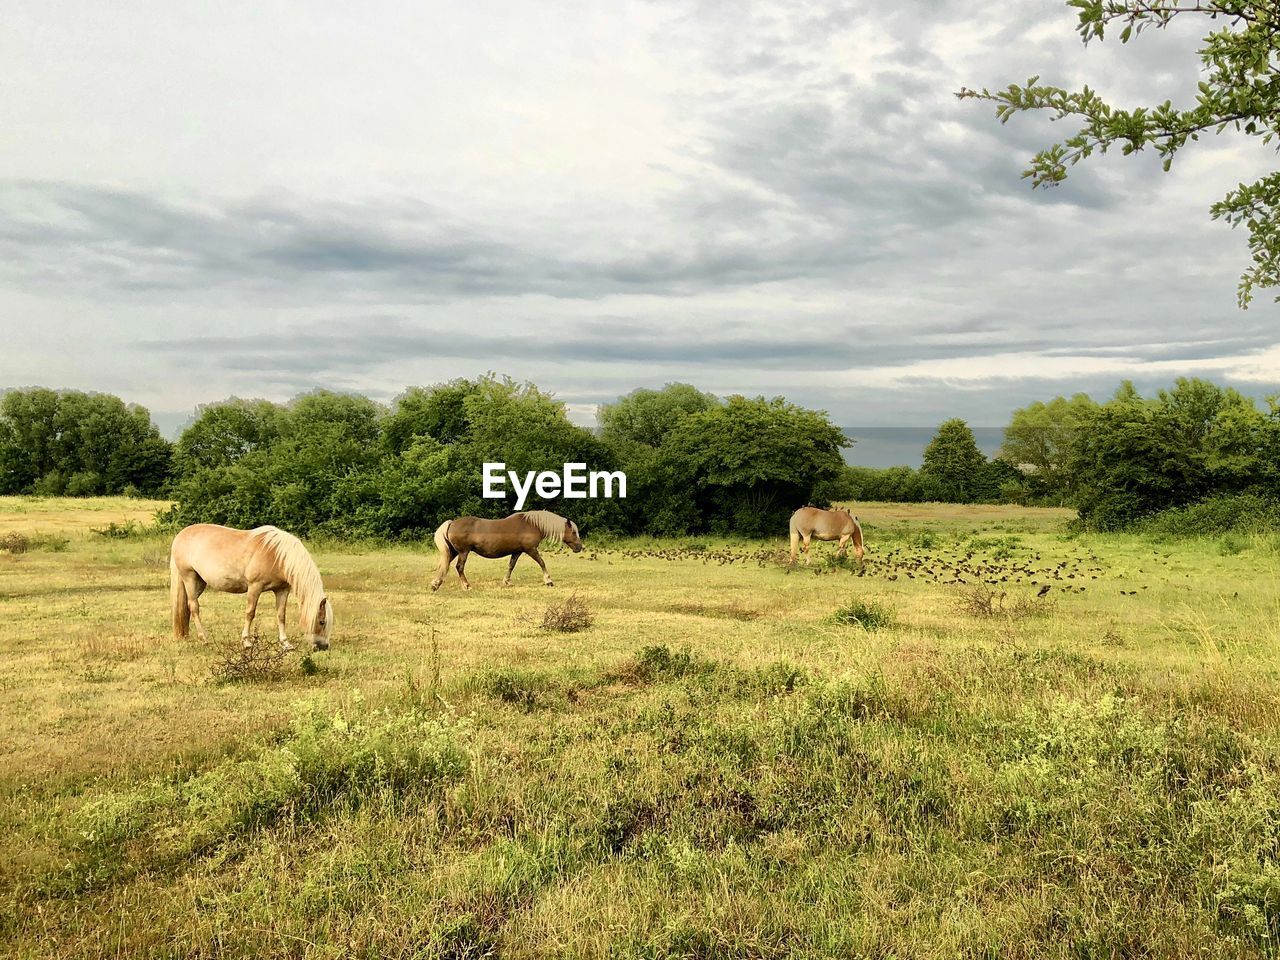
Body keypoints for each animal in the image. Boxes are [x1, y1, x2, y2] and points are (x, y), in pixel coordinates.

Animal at [170, 527, 335, 655]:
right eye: (322, 622)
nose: (323, 647)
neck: (277, 555)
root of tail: (180, 535)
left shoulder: (282, 590)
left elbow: (281, 615)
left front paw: (286, 644)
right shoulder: (255, 587)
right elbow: (250, 613)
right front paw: (247, 642)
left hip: (199, 583)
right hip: (189, 577)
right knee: (194, 607)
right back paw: (204, 639)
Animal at [435, 512, 586, 593]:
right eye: (574, 532)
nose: (579, 547)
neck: (532, 524)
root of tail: (452, 523)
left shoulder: (517, 552)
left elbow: (511, 566)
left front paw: (507, 582)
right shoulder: (531, 550)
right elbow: (542, 563)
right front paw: (548, 581)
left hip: (454, 552)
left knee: (445, 565)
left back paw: (435, 584)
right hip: (463, 552)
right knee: (459, 567)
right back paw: (466, 586)